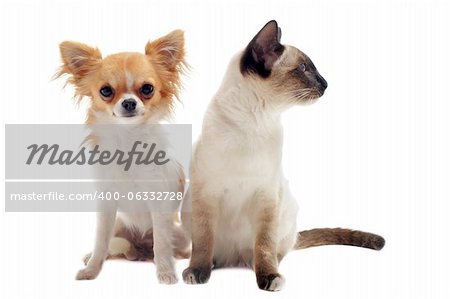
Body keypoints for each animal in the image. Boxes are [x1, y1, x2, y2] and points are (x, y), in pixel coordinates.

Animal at [182, 21, 384, 292]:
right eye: (303, 68)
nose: (326, 83)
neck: (255, 123)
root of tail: (234, 258)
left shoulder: (267, 197)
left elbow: (265, 246)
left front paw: (268, 277)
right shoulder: (206, 195)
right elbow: (203, 243)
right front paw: (198, 272)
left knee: (269, 252)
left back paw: (258, 265)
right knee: (212, 249)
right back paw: (215, 263)